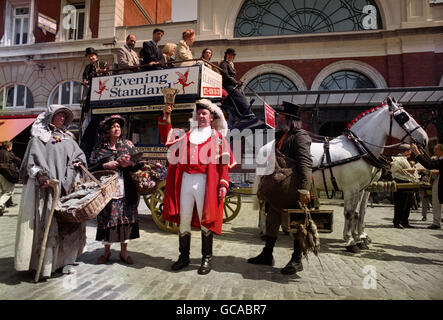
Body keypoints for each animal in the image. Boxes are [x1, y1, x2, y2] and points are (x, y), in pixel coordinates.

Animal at [256, 97, 430, 252]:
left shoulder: (363, 188)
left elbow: (360, 212)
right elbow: (349, 213)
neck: (359, 149)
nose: (425, 139)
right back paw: (264, 231)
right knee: (264, 204)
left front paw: (360, 237)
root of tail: (265, 147)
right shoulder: (350, 188)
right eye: (403, 117)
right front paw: (351, 240)